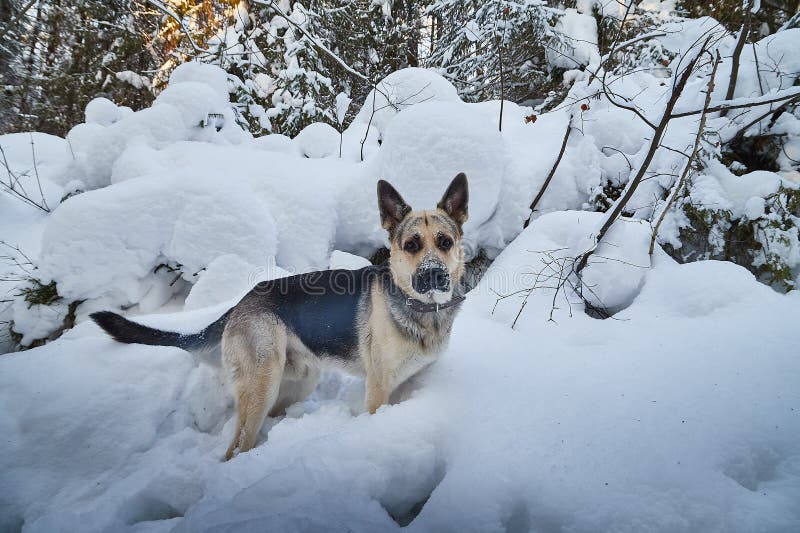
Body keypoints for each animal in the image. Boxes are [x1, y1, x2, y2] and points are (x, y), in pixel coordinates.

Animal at [92, 172, 468, 460]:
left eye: (445, 242)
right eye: (411, 245)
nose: (434, 275)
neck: (421, 309)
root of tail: (240, 303)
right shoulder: (377, 392)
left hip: (296, 383)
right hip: (261, 385)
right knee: (234, 448)